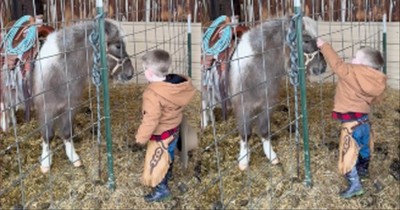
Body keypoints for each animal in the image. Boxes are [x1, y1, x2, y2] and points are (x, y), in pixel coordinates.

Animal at [33, 19, 134, 173]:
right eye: (118, 46)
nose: (130, 73)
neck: (62, 71)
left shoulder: (70, 107)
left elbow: (67, 132)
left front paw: (74, 157)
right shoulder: (46, 109)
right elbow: (48, 135)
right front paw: (45, 162)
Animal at [227, 16, 326, 171]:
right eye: (305, 40)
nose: (322, 67)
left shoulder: (267, 107)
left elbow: (264, 131)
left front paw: (271, 156)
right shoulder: (242, 109)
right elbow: (245, 134)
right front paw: (243, 160)